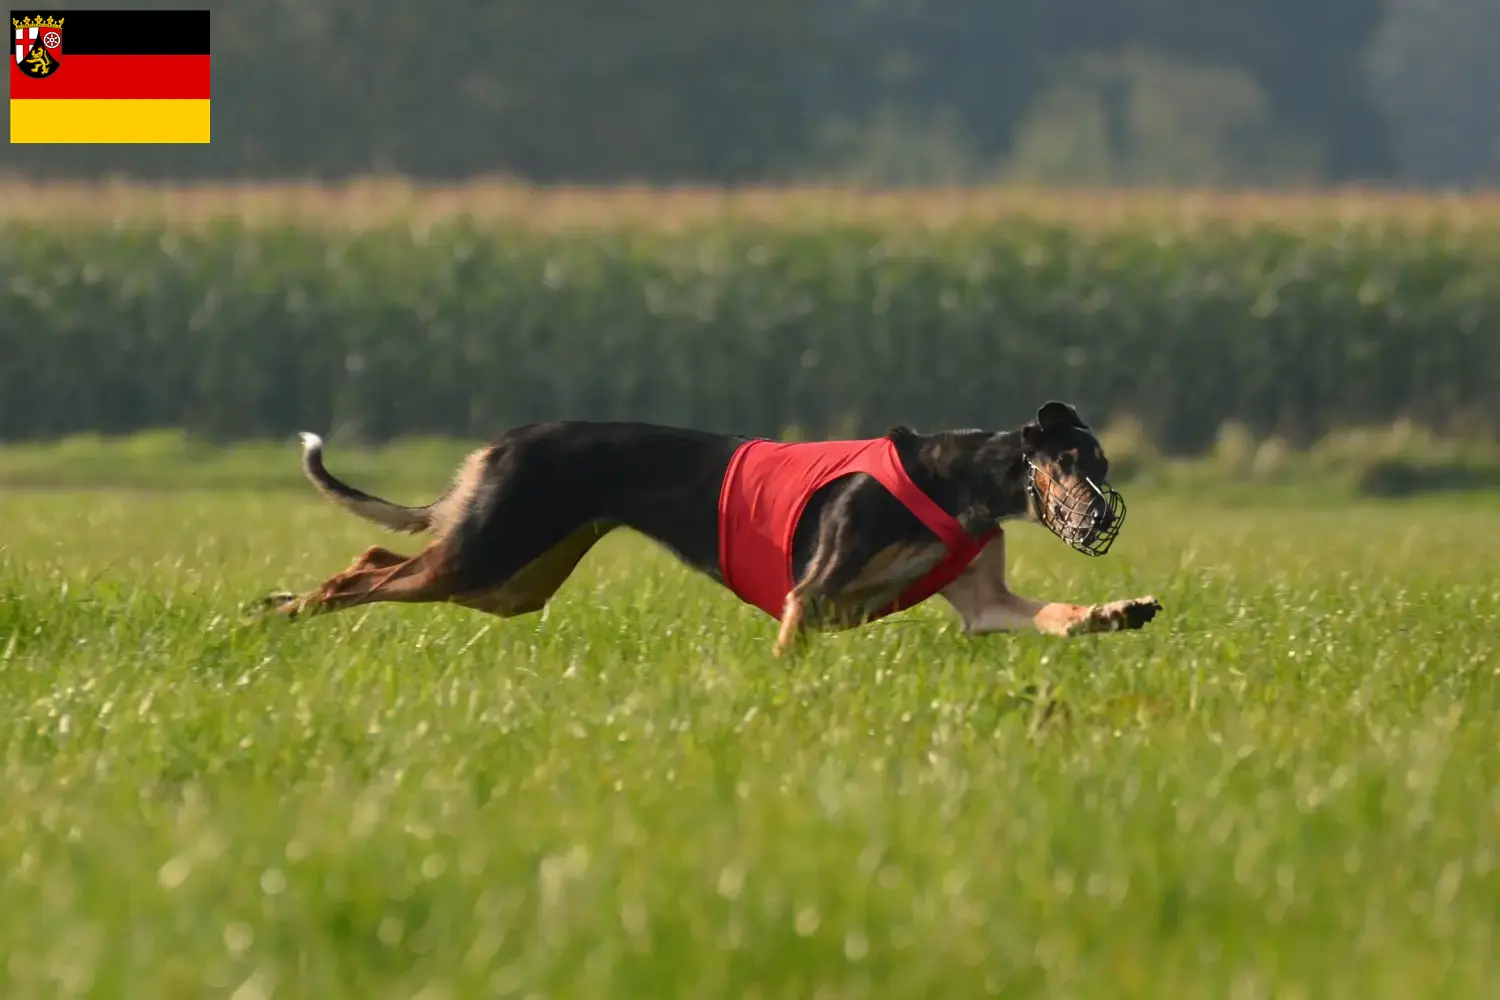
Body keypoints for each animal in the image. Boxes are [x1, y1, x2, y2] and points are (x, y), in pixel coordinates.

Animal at [267, 401, 1158, 653]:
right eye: (1074, 462)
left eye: (1105, 464)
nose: (1100, 519)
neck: (959, 479)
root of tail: (501, 442)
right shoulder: (810, 594)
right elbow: (790, 652)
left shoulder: (985, 605)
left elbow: (1059, 617)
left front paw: (1119, 611)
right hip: (486, 553)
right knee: (365, 567)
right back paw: (283, 612)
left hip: (513, 580)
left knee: (377, 554)